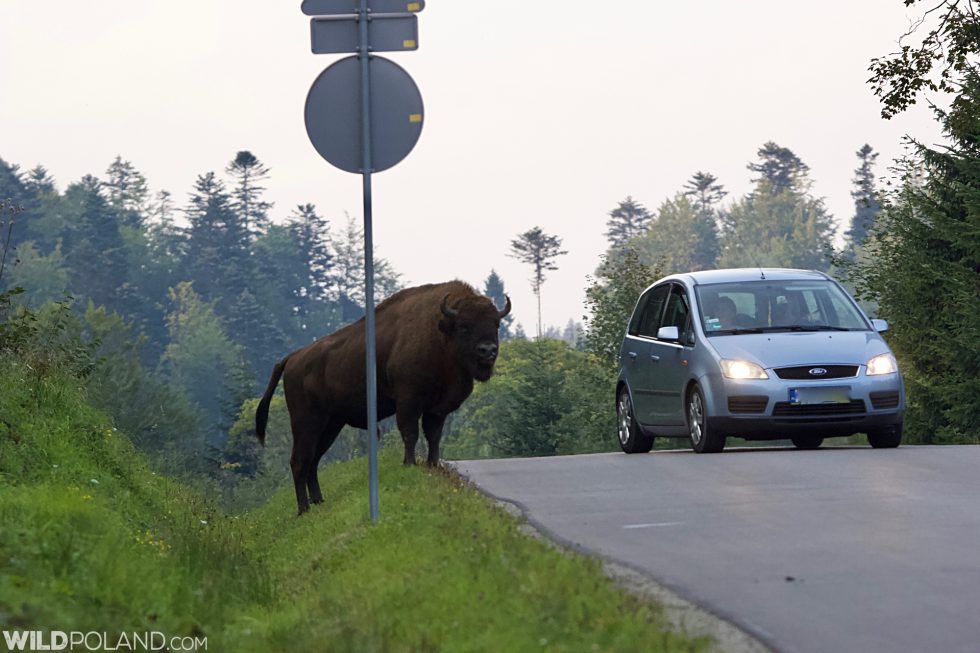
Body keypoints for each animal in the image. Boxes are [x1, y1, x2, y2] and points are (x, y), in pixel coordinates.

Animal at [253, 280, 512, 516]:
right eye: (465, 326)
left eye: (496, 323)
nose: (488, 351)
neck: (439, 334)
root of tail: (292, 358)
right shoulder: (409, 400)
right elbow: (410, 432)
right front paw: (410, 463)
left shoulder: (436, 409)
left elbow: (433, 436)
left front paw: (433, 464)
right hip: (306, 421)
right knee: (299, 461)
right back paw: (304, 509)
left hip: (331, 424)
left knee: (313, 461)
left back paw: (318, 502)